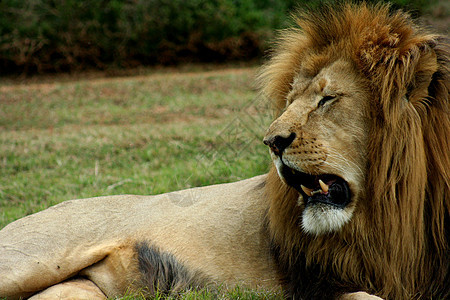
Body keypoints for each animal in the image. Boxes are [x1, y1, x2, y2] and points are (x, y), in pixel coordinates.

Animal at [0, 2, 448, 300]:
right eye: (289, 100)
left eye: (326, 100)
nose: (272, 141)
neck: (393, 210)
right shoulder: (319, 285)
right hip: (28, 258)